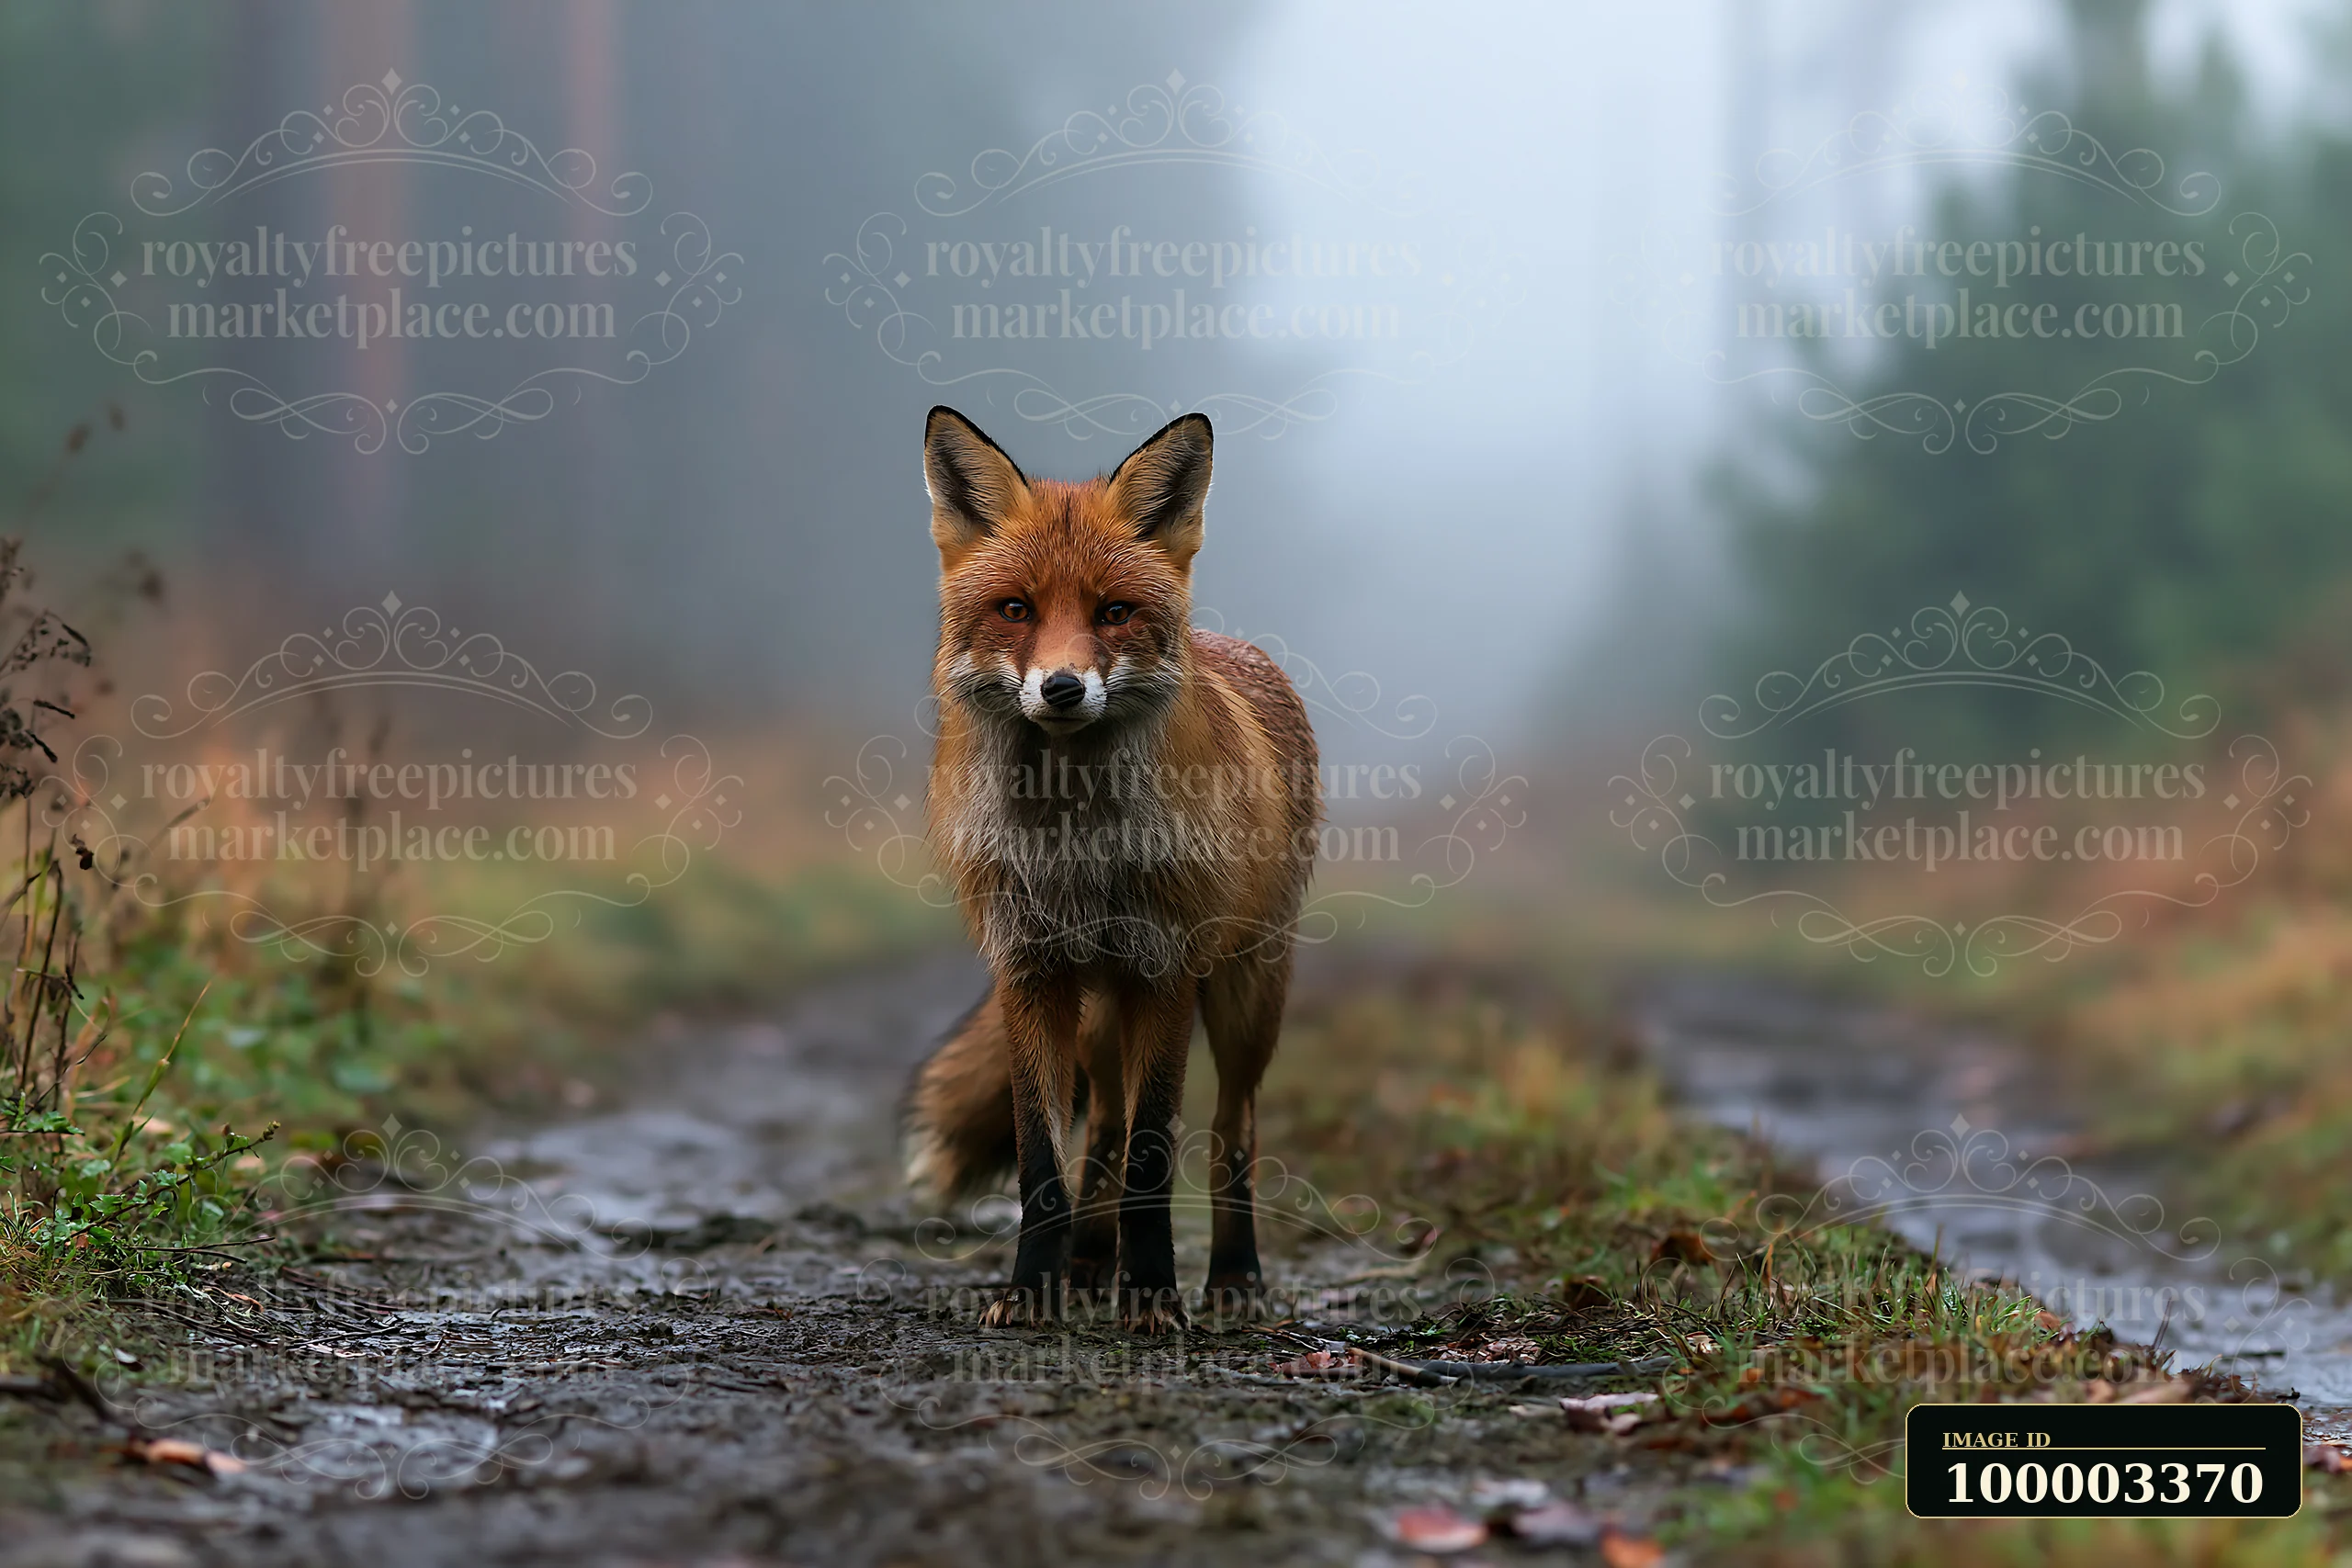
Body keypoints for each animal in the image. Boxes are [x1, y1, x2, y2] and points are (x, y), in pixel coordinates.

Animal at [902, 405, 1320, 1333]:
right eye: (1015, 609)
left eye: (1115, 611)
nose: (1061, 688)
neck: (1077, 847)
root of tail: (1232, 644)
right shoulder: (1030, 971)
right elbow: (1043, 1160)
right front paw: (1032, 1289)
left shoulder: (1165, 969)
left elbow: (1157, 1154)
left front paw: (1155, 1295)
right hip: (1098, 1011)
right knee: (1103, 1133)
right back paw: (1090, 1265)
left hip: (1247, 990)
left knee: (1229, 1131)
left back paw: (1231, 1276)